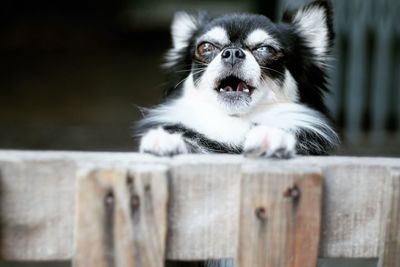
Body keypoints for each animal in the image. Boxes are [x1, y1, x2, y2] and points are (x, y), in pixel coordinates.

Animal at [137, 0, 338, 158]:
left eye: (265, 49)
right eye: (205, 47)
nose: (232, 52)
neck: (234, 123)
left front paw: (271, 137)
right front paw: (167, 140)